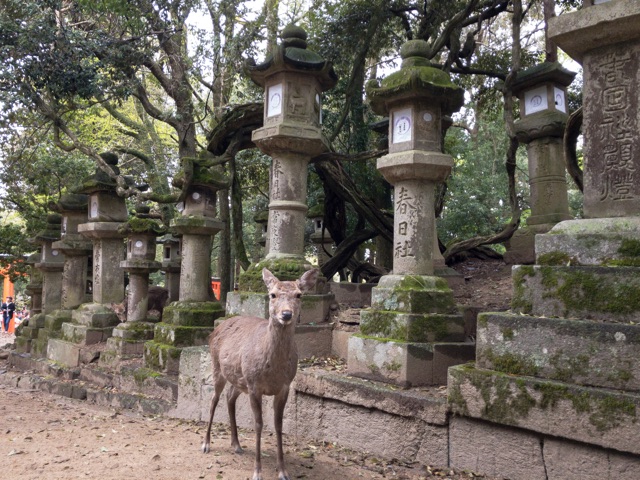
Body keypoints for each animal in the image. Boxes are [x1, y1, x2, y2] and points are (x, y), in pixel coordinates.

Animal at [201, 266, 318, 480]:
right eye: (272, 294)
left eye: (299, 294)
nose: (286, 314)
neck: (274, 371)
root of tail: (216, 329)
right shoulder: (255, 385)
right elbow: (258, 424)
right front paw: (257, 471)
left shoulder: (284, 386)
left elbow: (278, 425)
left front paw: (283, 471)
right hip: (218, 367)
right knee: (214, 399)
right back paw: (206, 444)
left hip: (240, 379)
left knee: (230, 397)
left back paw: (236, 444)